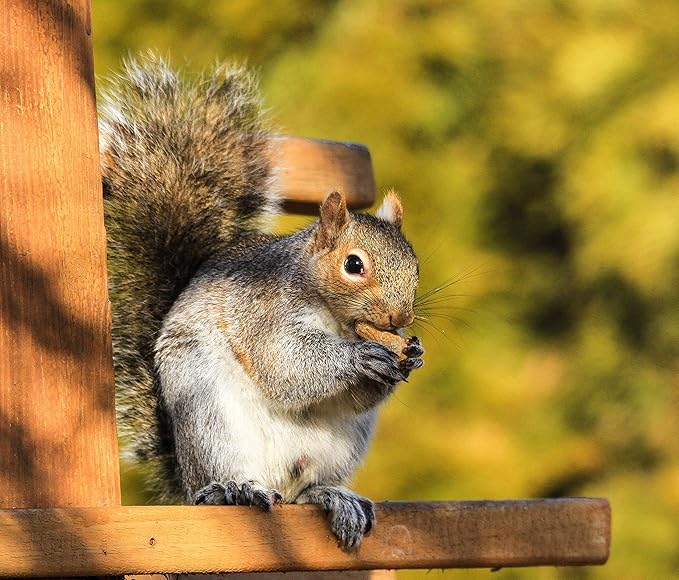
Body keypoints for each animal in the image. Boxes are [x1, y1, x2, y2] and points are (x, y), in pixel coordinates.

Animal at [99, 54, 424, 550]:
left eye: (416, 264)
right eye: (354, 265)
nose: (400, 316)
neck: (337, 320)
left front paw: (411, 355)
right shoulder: (263, 311)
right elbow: (283, 363)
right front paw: (359, 357)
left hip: (339, 447)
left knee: (303, 490)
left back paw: (332, 496)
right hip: (211, 419)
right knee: (227, 479)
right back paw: (234, 489)